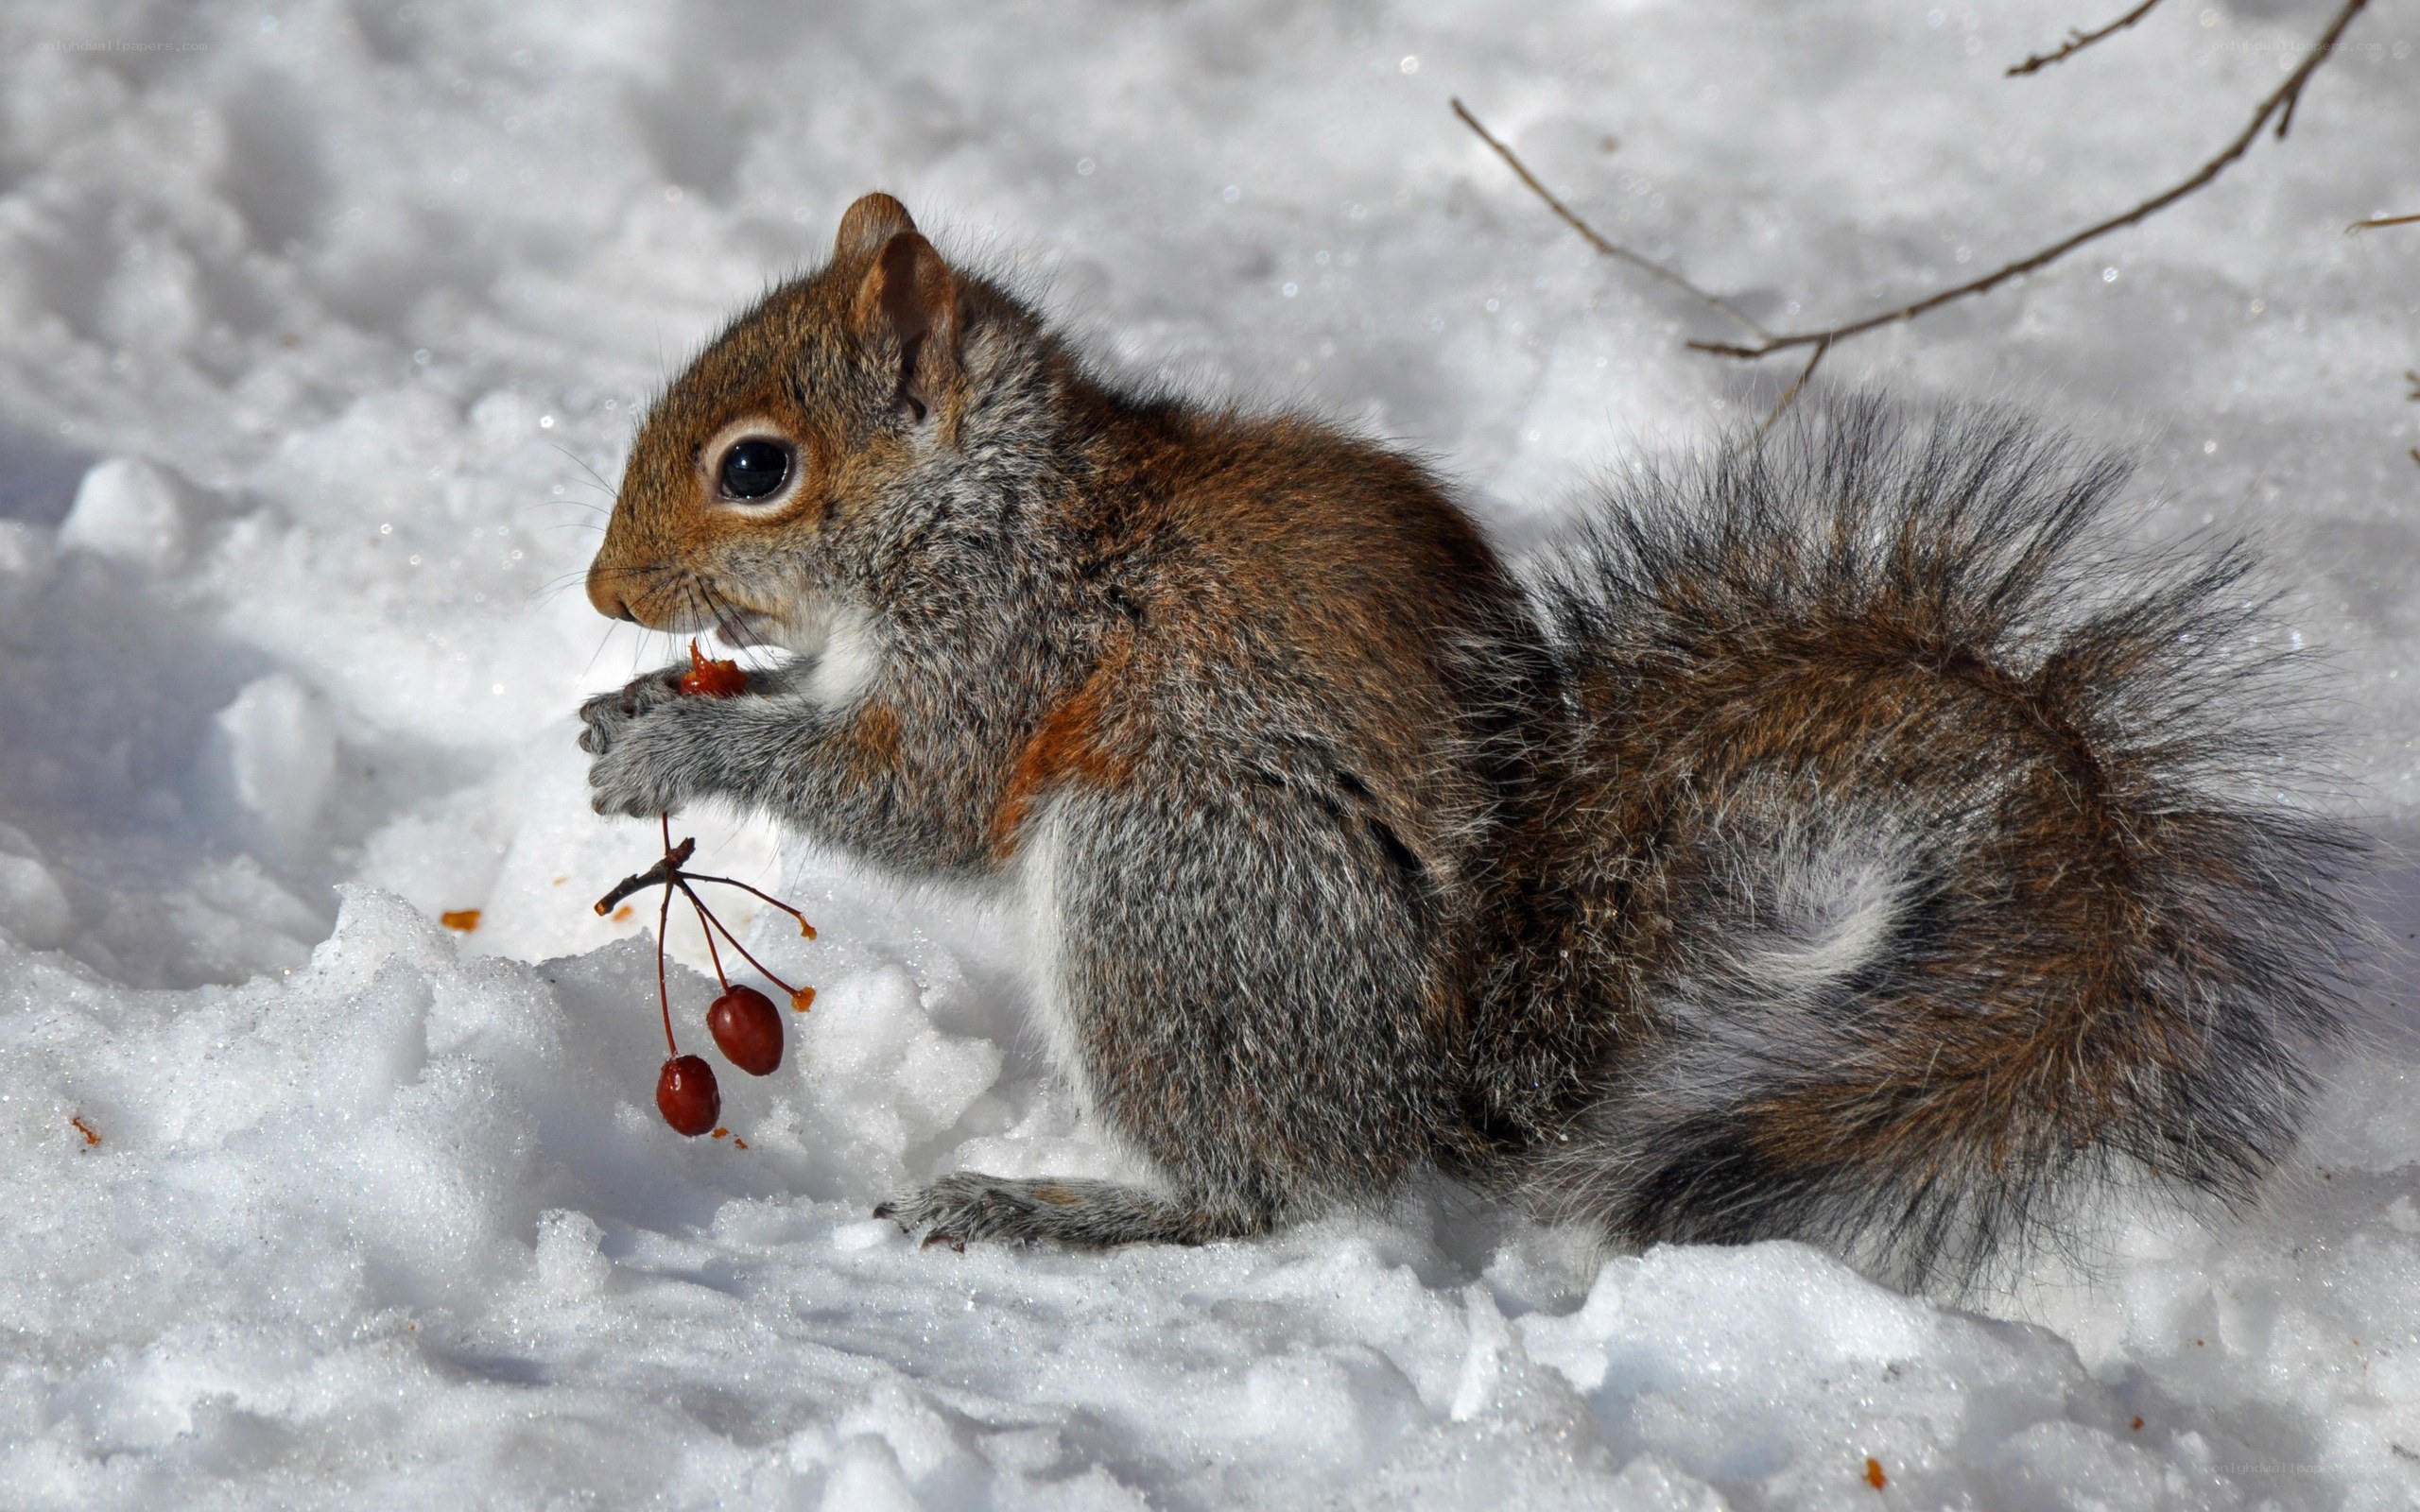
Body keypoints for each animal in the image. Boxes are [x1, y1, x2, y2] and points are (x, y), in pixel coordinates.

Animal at [578, 192, 2363, 1288]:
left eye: (756, 468)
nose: (603, 593)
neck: (986, 501)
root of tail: (1442, 1084)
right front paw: (632, 712)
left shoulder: (1014, 647)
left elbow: (921, 796)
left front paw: (678, 755)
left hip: (1173, 878)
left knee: (1266, 1193)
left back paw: (1047, 1206)